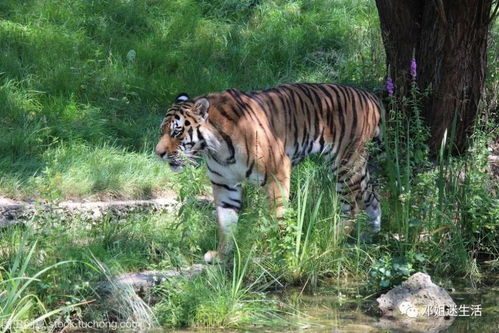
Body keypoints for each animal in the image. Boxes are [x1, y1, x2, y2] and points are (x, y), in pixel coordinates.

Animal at [155, 82, 382, 262]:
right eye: (162, 131)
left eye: (176, 132)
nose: (158, 153)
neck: (216, 149)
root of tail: (369, 95)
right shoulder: (224, 184)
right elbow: (225, 222)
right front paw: (221, 255)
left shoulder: (277, 171)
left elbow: (278, 215)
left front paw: (281, 252)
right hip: (356, 167)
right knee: (373, 197)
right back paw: (370, 235)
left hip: (345, 164)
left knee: (351, 207)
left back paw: (332, 238)